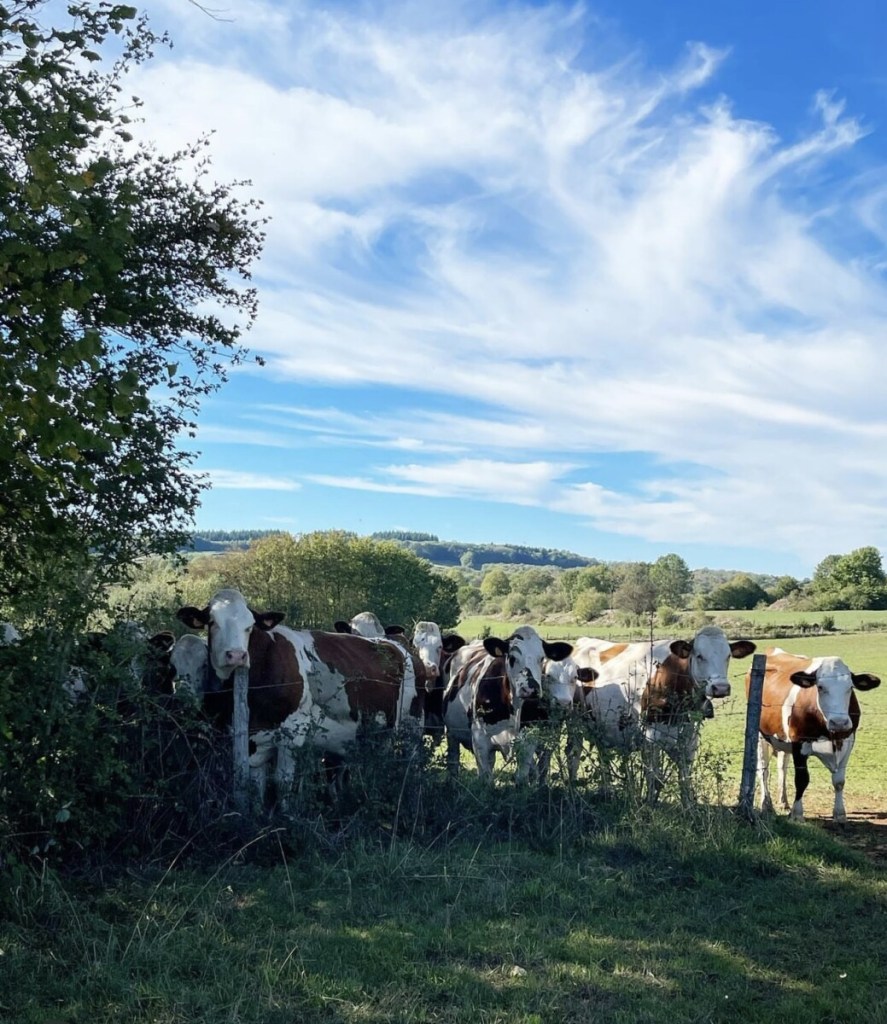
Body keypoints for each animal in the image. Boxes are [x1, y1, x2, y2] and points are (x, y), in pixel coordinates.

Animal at [442, 622, 573, 782]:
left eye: (542, 658)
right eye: (511, 657)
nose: (531, 689)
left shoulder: (528, 741)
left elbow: (522, 778)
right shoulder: (480, 741)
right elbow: (486, 780)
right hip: (451, 735)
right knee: (453, 761)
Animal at [565, 626, 753, 802]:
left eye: (728, 656)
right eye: (699, 656)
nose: (720, 688)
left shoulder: (689, 737)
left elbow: (685, 777)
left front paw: (689, 806)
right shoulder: (650, 736)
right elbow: (653, 777)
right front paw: (650, 805)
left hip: (600, 726)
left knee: (603, 753)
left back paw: (606, 792)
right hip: (575, 724)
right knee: (573, 754)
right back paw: (573, 790)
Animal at [745, 647, 876, 823]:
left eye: (850, 688)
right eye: (820, 687)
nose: (839, 722)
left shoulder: (847, 741)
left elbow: (839, 781)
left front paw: (840, 814)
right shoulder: (799, 743)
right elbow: (801, 779)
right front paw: (797, 813)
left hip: (782, 739)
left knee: (782, 767)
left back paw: (784, 801)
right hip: (760, 735)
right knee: (763, 770)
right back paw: (766, 804)